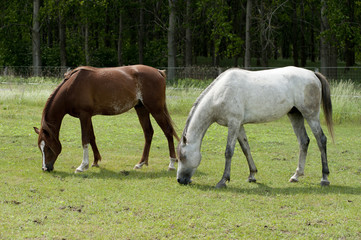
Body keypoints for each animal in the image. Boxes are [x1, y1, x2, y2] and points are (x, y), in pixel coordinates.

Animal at [34, 63, 178, 172]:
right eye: (40, 148)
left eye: (48, 147)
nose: (45, 168)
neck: (71, 87)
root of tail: (158, 72)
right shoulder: (88, 116)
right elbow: (91, 138)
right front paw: (95, 161)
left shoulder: (84, 115)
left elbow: (84, 139)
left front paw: (82, 166)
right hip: (141, 108)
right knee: (148, 133)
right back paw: (140, 163)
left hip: (156, 109)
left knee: (168, 131)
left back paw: (171, 164)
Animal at [176, 66, 334, 188]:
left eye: (182, 156)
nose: (180, 180)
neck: (220, 93)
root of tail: (313, 74)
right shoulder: (239, 125)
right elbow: (246, 149)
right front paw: (252, 175)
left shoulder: (233, 123)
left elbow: (229, 151)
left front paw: (223, 180)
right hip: (295, 115)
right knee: (304, 141)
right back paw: (296, 175)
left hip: (310, 115)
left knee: (321, 140)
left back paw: (324, 178)